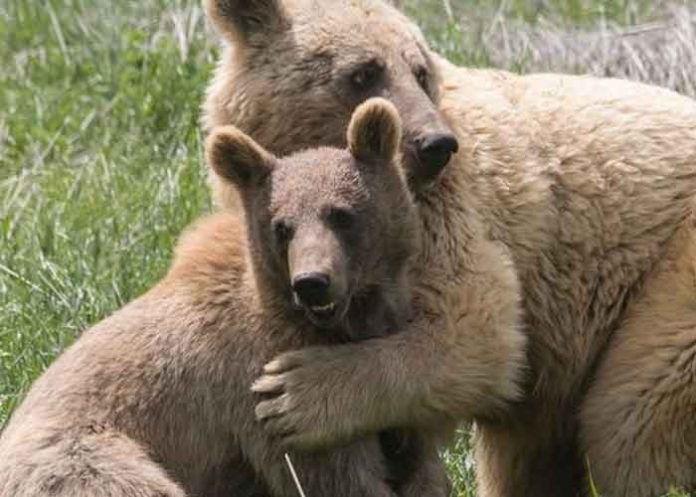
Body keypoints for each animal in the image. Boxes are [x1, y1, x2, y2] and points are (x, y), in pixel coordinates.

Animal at [0, 99, 451, 497]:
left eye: (341, 214)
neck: (346, 325)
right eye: (282, 227)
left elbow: (417, 460)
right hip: (88, 460)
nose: (311, 282)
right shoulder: (267, 393)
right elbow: (338, 475)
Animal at [202, 1, 696, 496]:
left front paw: (293, 392)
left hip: (672, 275)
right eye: (364, 72)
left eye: (419, 70)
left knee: (631, 417)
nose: (436, 144)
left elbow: (473, 327)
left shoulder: (439, 213)